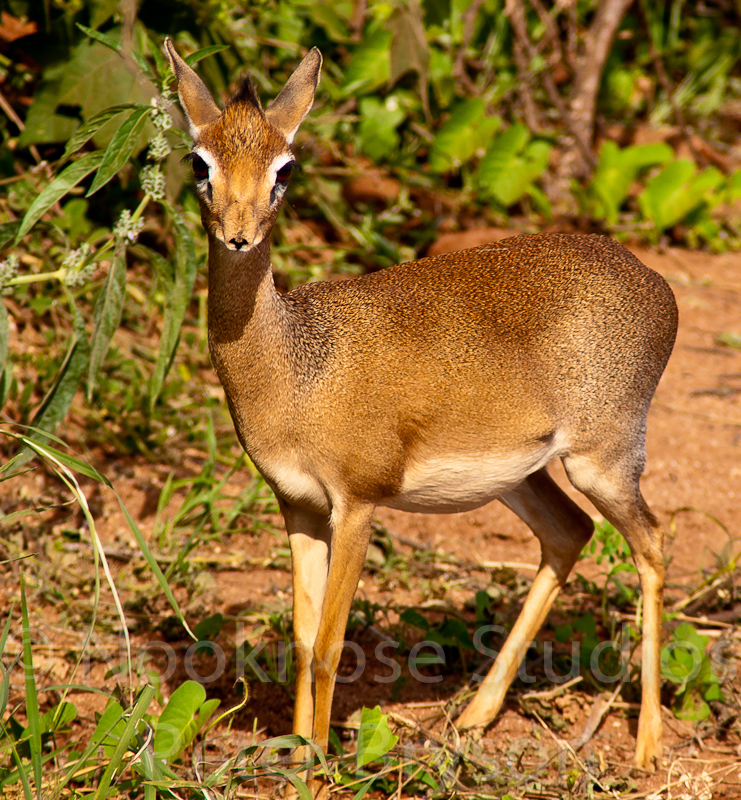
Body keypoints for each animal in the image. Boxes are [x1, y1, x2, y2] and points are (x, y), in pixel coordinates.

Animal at [164, 39, 677, 793]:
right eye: (201, 162)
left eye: (285, 167)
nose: (237, 235)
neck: (296, 365)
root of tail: (656, 283)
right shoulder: (297, 505)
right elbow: (301, 637)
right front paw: (299, 757)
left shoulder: (356, 504)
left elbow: (330, 644)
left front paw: (320, 769)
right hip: (522, 476)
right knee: (570, 533)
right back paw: (474, 718)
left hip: (602, 461)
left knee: (652, 545)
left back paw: (646, 747)